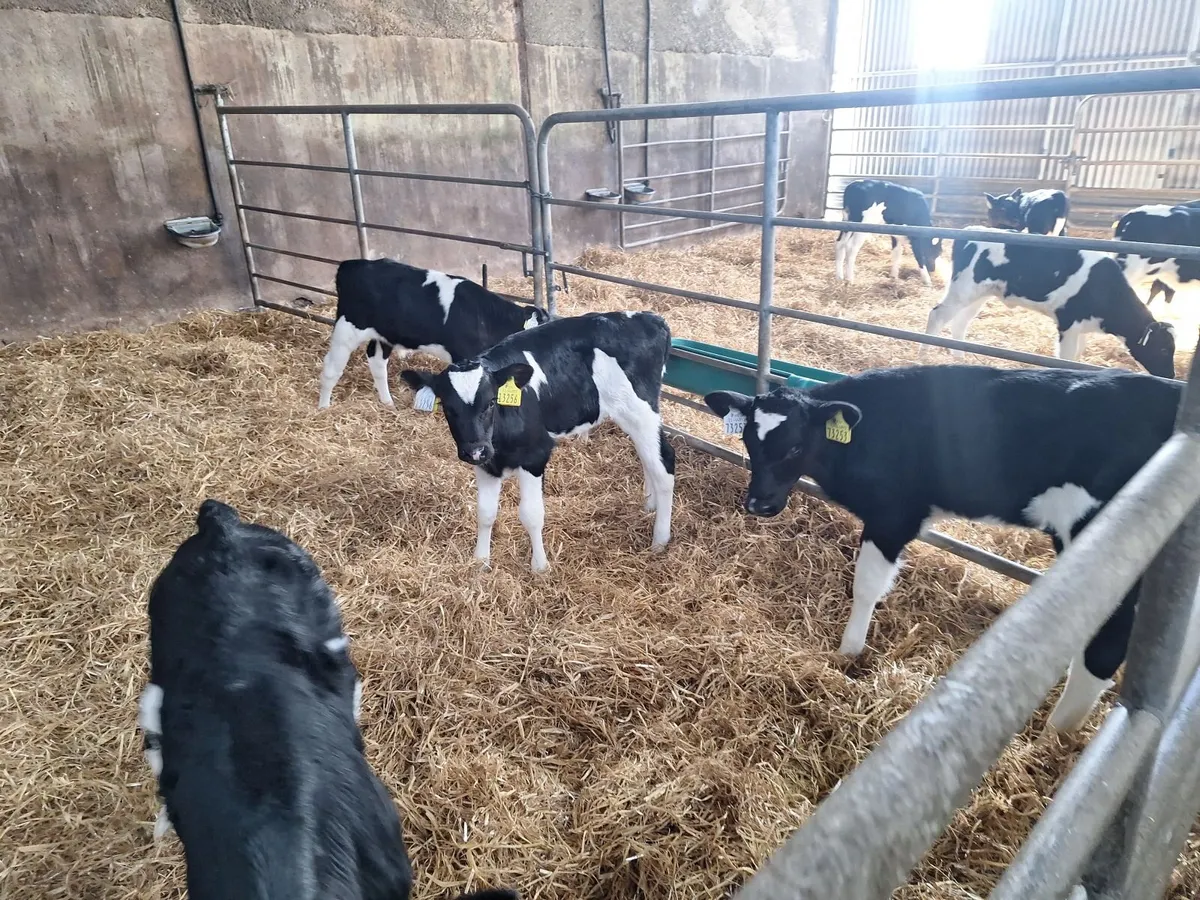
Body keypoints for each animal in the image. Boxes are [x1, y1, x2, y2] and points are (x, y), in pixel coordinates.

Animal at [318, 257, 549, 409]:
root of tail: (352, 264)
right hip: (346, 330)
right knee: (331, 368)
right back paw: (324, 407)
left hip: (384, 335)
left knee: (376, 362)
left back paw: (388, 403)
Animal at [399, 311, 675, 573]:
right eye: (448, 408)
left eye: (490, 402)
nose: (475, 450)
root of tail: (650, 317)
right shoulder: (486, 465)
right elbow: (485, 513)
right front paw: (480, 561)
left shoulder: (534, 457)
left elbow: (531, 514)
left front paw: (540, 567)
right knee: (647, 458)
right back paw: (649, 505)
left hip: (641, 411)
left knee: (665, 463)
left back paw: (660, 540)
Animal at [703, 364, 1183, 732]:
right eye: (748, 441)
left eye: (796, 446)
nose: (758, 504)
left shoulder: (893, 514)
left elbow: (866, 586)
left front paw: (848, 653)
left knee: (1107, 643)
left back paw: (1055, 736)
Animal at [923, 227, 1176, 379]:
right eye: (1164, 348)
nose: (1172, 376)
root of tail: (973, 229)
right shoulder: (1068, 323)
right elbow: (1066, 359)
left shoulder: (1082, 327)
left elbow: (1077, 357)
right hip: (963, 288)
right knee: (937, 314)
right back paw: (924, 352)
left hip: (980, 294)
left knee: (960, 322)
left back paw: (959, 356)